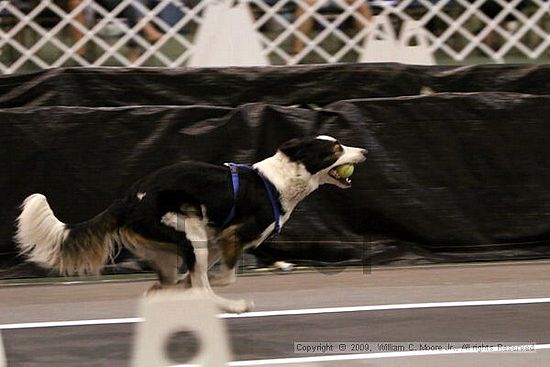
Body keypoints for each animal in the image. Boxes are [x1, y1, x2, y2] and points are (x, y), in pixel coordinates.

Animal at [15, 137, 368, 314]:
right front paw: (213, 287)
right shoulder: (231, 236)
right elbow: (222, 277)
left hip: (177, 244)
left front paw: (183, 285)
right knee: (199, 288)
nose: (364, 150)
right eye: (336, 149)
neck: (280, 180)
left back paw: (166, 294)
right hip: (189, 231)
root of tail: (128, 199)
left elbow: (205, 276)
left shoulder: (216, 241)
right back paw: (232, 306)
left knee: (163, 286)